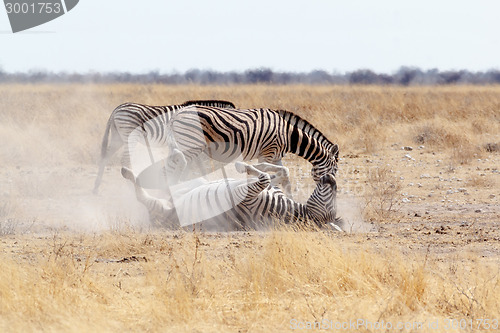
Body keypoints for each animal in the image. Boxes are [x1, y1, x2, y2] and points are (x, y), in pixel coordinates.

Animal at [92, 98, 236, 193]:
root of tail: (116, 109)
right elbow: (193, 164)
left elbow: (195, 164)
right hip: (129, 136)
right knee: (125, 160)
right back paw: (130, 188)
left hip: (118, 137)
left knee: (105, 157)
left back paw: (96, 187)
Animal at [120, 148, 344, 230]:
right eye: (333, 193)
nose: (330, 177)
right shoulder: (270, 189)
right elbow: (278, 173)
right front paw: (253, 166)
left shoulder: (249, 199)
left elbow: (263, 178)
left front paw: (242, 166)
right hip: (192, 184)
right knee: (175, 178)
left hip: (159, 207)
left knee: (142, 193)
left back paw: (127, 172)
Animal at [166, 105, 338, 196]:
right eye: (335, 169)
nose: (331, 188)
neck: (288, 135)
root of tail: (176, 114)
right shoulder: (267, 153)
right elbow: (271, 170)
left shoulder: (276, 157)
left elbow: (285, 177)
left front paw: (290, 198)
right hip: (190, 145)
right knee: (177, 167)